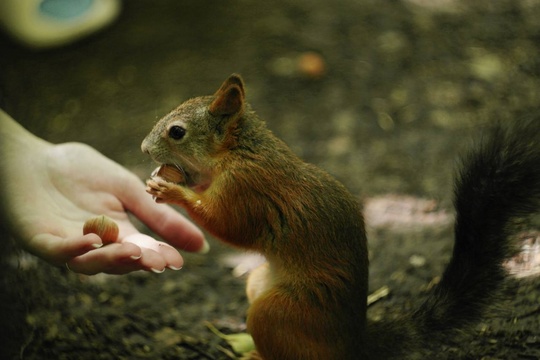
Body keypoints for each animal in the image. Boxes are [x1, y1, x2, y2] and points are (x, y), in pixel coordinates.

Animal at [140, 74, 540, 358]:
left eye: (177, 132)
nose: (143, 148)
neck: (239, 151)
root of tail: (354, 344)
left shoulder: (247, 190)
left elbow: (230, 227)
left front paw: (172, 191)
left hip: (278, 313)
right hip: (258, 282)